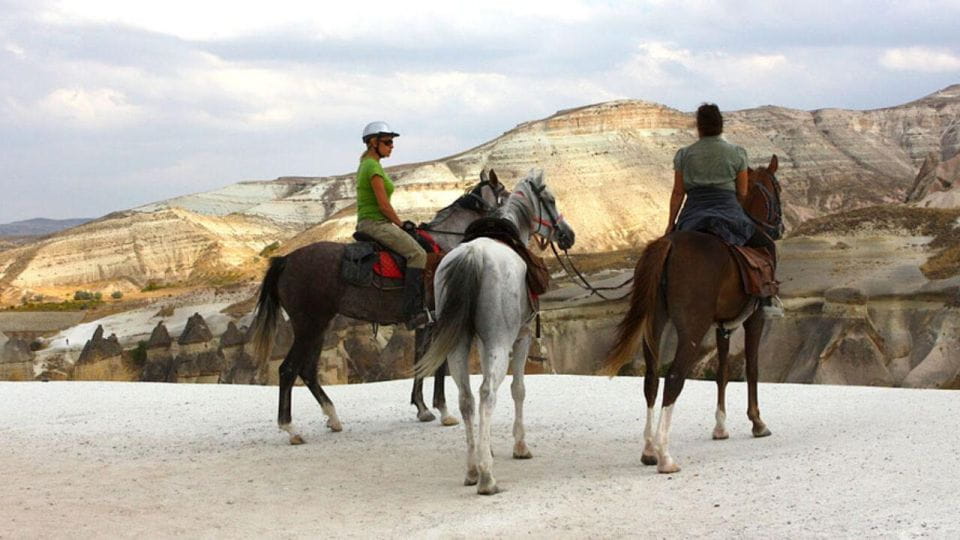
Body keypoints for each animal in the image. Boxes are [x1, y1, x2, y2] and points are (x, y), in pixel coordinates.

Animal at [250, 170, 508, 444]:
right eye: (504, 191)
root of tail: (285, 261)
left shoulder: (425, 323)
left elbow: (420, 361)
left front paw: (422, 408)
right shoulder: (443, 320)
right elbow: (439, 365)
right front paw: (444, 411)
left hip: (317, 327)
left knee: (307, 370)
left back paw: (332, 417)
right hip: (309, 325)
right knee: (288, 370)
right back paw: (291, 429)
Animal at [415, 169, 575, 495]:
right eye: (551, 199)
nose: (568, 234)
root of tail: (473, 256)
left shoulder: (478, 342)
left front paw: (485, 449)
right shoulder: (522, 338)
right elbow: (518, 389)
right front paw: (520, 446)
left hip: (458, 346)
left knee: (466, 398)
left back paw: (472, 469)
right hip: (500, 343)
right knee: (488, 392)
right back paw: (487, 478)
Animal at [602, 154, 783, 474]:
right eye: (779, 189)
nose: (779, 228)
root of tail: (668, 244)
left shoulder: (723, 326)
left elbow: (722, 371)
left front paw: (720, 427)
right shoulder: (754, 319)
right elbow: (751, 368)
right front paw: (757, 422)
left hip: (654, 324)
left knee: (651, 379)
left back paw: (649, 450)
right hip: (692, 329)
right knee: (674, 377)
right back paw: (665, 456)